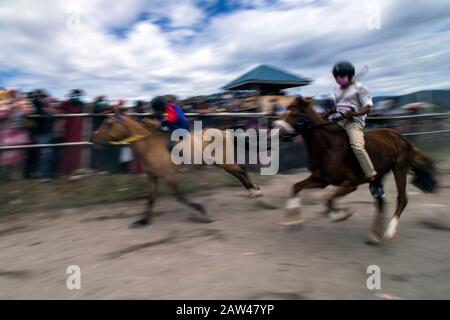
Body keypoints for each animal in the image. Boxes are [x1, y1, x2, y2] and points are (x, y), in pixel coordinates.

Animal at [93, 112, 266, 228]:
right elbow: (151, 198)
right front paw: (143, 220)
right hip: (221, 163)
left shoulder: (168, 175)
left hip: (225, 162)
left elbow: (179, 196)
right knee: (239, 173)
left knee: (242, 170)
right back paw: (253, 191)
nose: (94, 139)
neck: (148, 145)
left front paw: (201, 211)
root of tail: (225, 132)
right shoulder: (152, 177)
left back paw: (256, 192)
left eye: (109, 123)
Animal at [278, 96, 436, 244]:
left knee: (402, 199)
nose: (280, 132)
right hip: (379, 177)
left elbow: (329, 199)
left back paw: (389, 233)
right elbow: (296, 187)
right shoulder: (320, 180)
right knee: (381, 203)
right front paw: (293, 221)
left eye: (294, 113)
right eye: (285, 111)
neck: (327, 147)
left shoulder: (350, 183)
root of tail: (402, 139)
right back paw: (374, 236)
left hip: (399, 169)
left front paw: (341, 215)